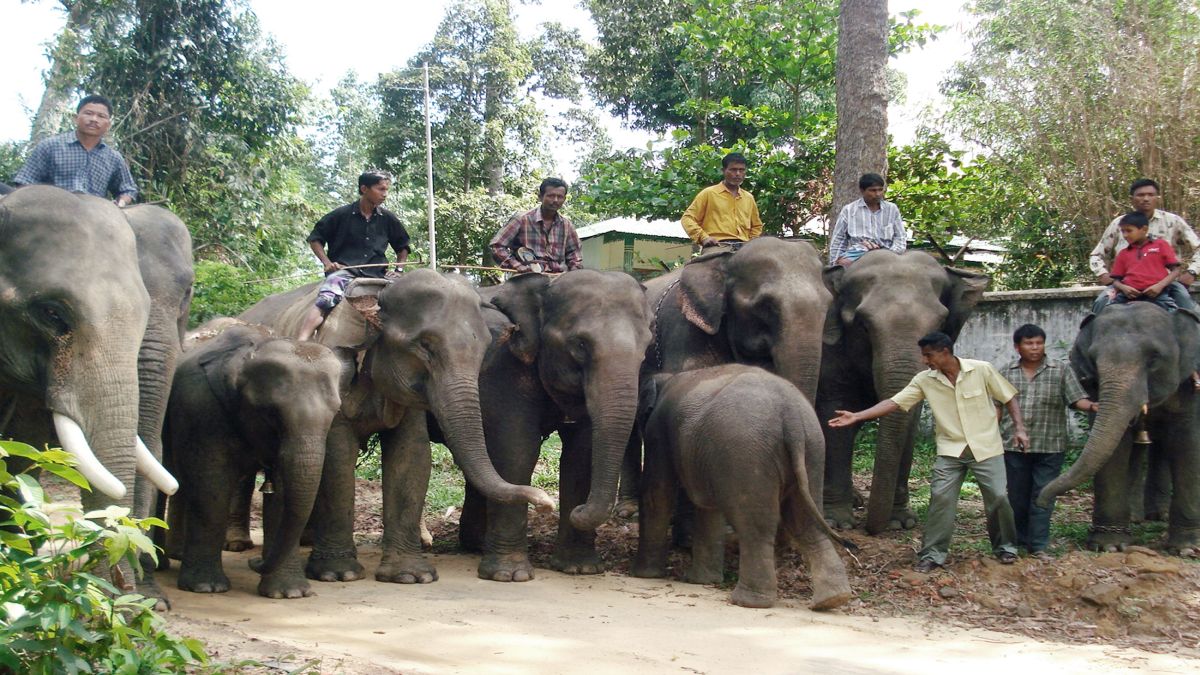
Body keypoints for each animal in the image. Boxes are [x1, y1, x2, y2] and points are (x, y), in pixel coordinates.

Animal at [166, 322, 346, 598]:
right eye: (271, 413)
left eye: (336, 412)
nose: (255, 561)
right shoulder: (201, 408)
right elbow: (211, 484)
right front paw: (206, 588)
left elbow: (282, 494)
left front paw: (289, 593)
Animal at [239, 269, 554, 584]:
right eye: (425, 346)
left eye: (484, 349)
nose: (547, 503)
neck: (380, 294)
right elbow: (337, 456)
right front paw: (338, 574)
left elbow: (412, 454)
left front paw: (411, 576)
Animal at [456, 269, 653, 581]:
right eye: (580, 344)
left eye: (647, 346)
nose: (577, 510)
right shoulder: (502, 367)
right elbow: (516, 450)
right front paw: (510, 576)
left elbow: (580, 456)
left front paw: (580, 568)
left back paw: (475, 544)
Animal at [633, 364, 852, 610]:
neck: (666, 379)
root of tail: (791, 415)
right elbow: (708, 507)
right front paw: (700, 581)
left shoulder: (658, 429)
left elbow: (657, 492)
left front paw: (645, 575)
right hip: (812, 451)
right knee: (806, 521)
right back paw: (833, 599)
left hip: (746, 453)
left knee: (755, 526)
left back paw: (747, 601)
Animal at [1037, 302, 1200, 555]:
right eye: (1093, 359)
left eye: (1154, 358)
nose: (1041, 502)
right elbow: (1116, 449)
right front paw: (1109, 546)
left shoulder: (1190, 385)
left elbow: (1187, 445)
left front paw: (1185, 549)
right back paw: (1138, 517)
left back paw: (1157, 516)